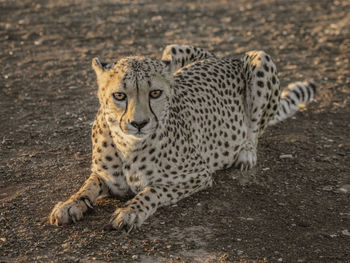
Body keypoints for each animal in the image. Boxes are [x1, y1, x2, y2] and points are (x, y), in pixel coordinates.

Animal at [50, 44, 318, 232]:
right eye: (119, 95)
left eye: (155, 93)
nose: (139, 123)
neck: (128, 145)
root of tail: (221, 57)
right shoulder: (107, 177)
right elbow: (88, 184)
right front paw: (70, 204)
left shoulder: (199, 174)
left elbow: (153, 190)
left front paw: (131, 211)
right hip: (172, 49)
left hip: (260, 58)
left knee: (254, 131)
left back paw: (246, 153)